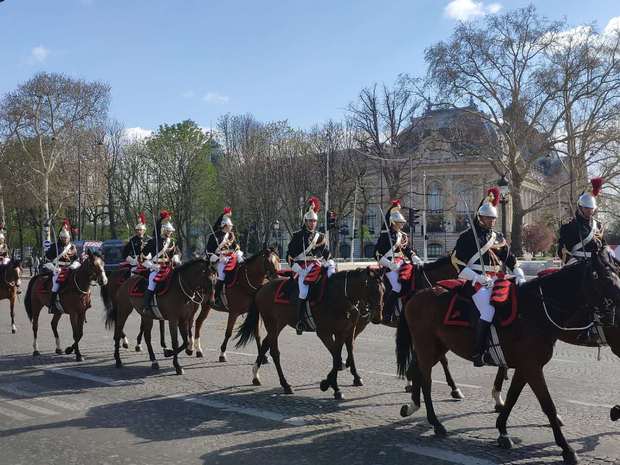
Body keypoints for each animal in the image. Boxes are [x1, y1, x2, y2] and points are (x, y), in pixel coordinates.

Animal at [236, 266, 382, 400]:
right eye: (374, 290)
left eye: (383, 290)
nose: (378, 317)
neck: (338, 296)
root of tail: (263, 286)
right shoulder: (324, 333)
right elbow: (337, 358)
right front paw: (332, 386)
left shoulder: (344, 332)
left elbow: (342, 355)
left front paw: (333, 381)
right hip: (271, 323)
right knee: (275, 352)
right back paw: (285, 384)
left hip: (279, 324)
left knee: (266, 343)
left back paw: (256, 375)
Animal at [346, 256, 462, 396]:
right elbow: (442, 358)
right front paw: (454, 387)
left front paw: (410, 383)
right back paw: (354, 374)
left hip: (362, 321)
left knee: (350, 341)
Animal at [394, 246, 620, 464]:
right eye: (605, 278)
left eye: (617, 274)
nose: (615, 312)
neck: (534, 311)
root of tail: (417, 295)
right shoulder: (532, 367)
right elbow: (548, 405)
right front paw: (567, 448)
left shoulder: (525, 367)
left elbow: (512, 397)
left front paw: (502, 430)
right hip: (426, 346)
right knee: (426, 381)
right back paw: (435, 422)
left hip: (438, 347)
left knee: (418, 370)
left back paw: (413, 406)